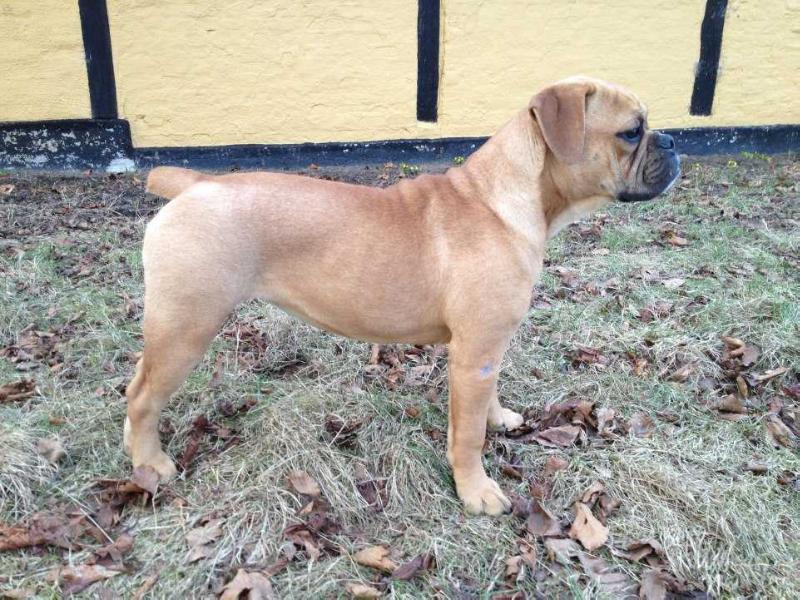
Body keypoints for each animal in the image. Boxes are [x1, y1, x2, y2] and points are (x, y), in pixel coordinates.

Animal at [126, 76, 680, 516]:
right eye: (632, 130)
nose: (674, 141)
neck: (508, 198)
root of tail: (196, 186)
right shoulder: (473, 354)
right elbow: (467, 435)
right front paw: (476, 490)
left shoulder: (488, 350)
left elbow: (489, 400)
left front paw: (499, 418)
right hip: (185, 328)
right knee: (142, 397)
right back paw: (151, 462)